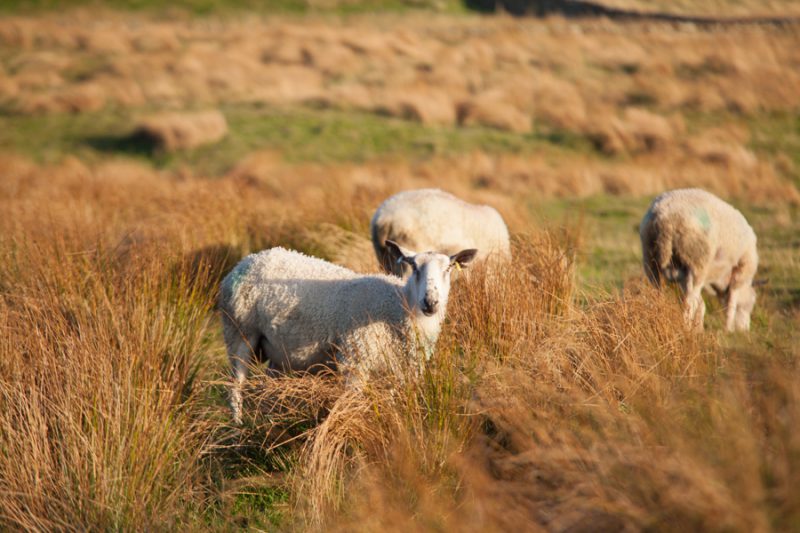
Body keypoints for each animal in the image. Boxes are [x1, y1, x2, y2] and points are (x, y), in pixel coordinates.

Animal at [217, 242, 476, 424]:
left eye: (449, 268)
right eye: (413, 267)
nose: (430, 302)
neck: (398, 306)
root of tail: (249, 260)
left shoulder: (401, 371)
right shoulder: (355, 359)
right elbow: (353, 406)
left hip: (278, 351)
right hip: (239, 332)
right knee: (235, 387)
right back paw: (239, 427)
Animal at [640, 186, 760, 328]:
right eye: (751, 304)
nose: (745, 330)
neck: (721, 279)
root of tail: (665, 218)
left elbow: (702, 303)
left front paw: (699, 328)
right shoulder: (742, 269)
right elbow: (731, 303)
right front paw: (728, 327)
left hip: (650, 258)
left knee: (657, 291)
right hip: (697, 259)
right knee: (689, 302)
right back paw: (686, 327)